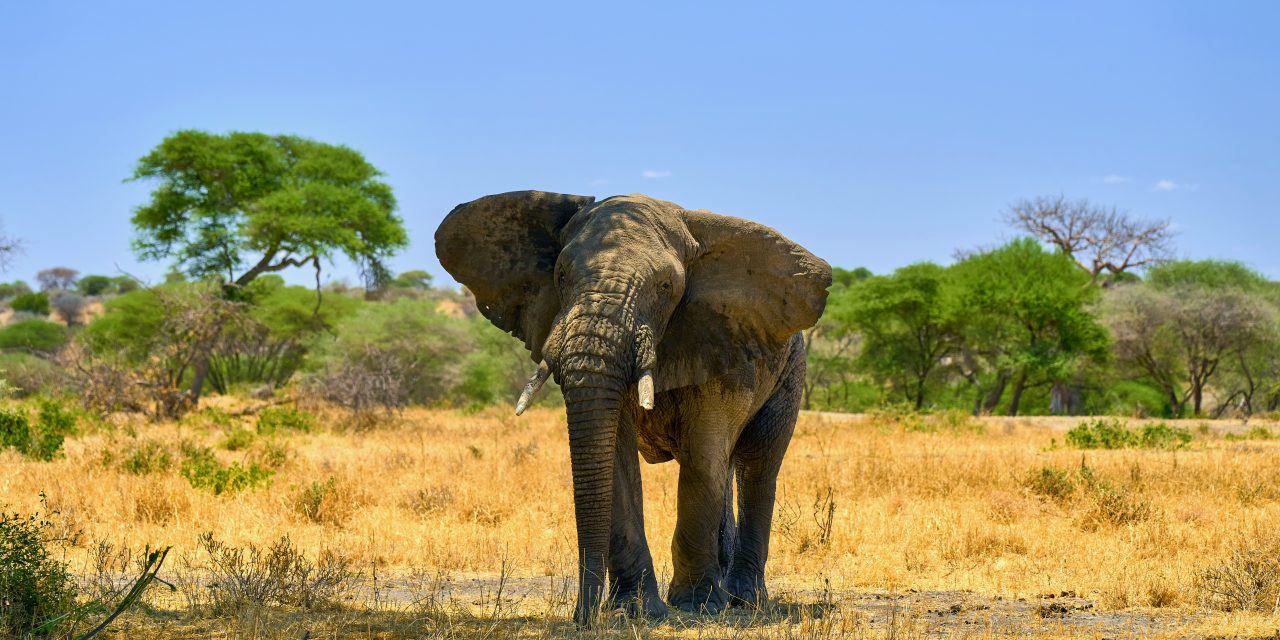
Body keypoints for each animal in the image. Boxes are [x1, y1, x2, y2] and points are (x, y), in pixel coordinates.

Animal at [434, 191, 831, 624]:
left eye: (666, 285)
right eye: (560, 276)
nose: (582, 618)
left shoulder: (718, 334)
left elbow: (702, 457)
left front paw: (694, 607)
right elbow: (617, 460)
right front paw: (635, 611)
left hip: (791, 369)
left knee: (757, 463)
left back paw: (744, 600)